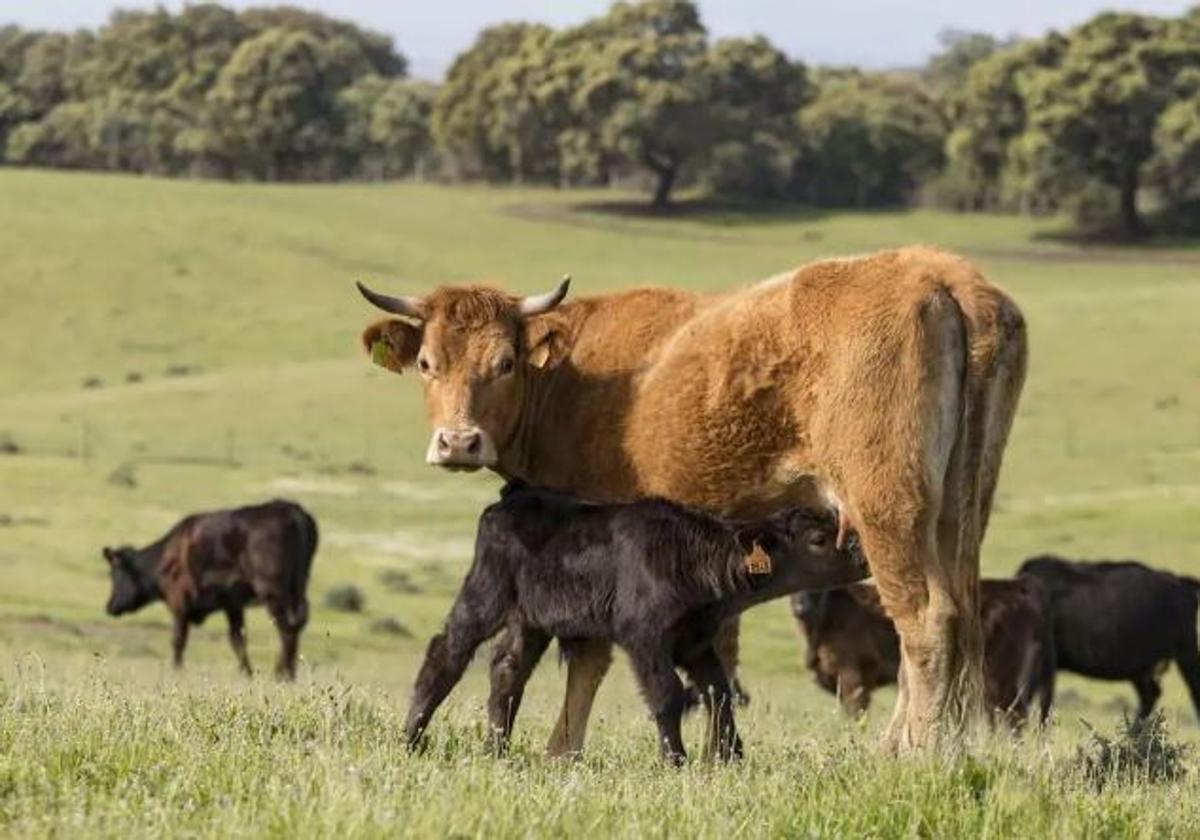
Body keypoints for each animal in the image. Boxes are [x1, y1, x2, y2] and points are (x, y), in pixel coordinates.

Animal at [102, 499, 316, 681]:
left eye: (115, 574)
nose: (110, 606)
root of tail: (292, 509)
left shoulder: (179, 601)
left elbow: (178, 640)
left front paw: (177, 671)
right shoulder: (232, 604)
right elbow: (237, 639)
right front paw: (246, 674)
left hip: (272, 590)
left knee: (286, 627)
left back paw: (283, 674)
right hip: (299, 586)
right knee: (297, 623)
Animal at [408, 480, 868, 763]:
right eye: (819, 539)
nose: (863, 556)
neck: (691, 559)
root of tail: (514, 494)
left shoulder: (696, 640)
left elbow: (719, 692)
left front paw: (732, 758)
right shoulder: (643, 634)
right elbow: (667, 694)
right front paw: (676, 761)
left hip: (531, 618)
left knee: (507, 669)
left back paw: (497, 751)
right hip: (486, 591)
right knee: (447, 650)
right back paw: (411, 737)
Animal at [792, 578, 1056, 729]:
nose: (801, 606)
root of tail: (1017, 590)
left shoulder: (852, 677)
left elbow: (856, 717)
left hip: (999, 678)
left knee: (1011, 718)